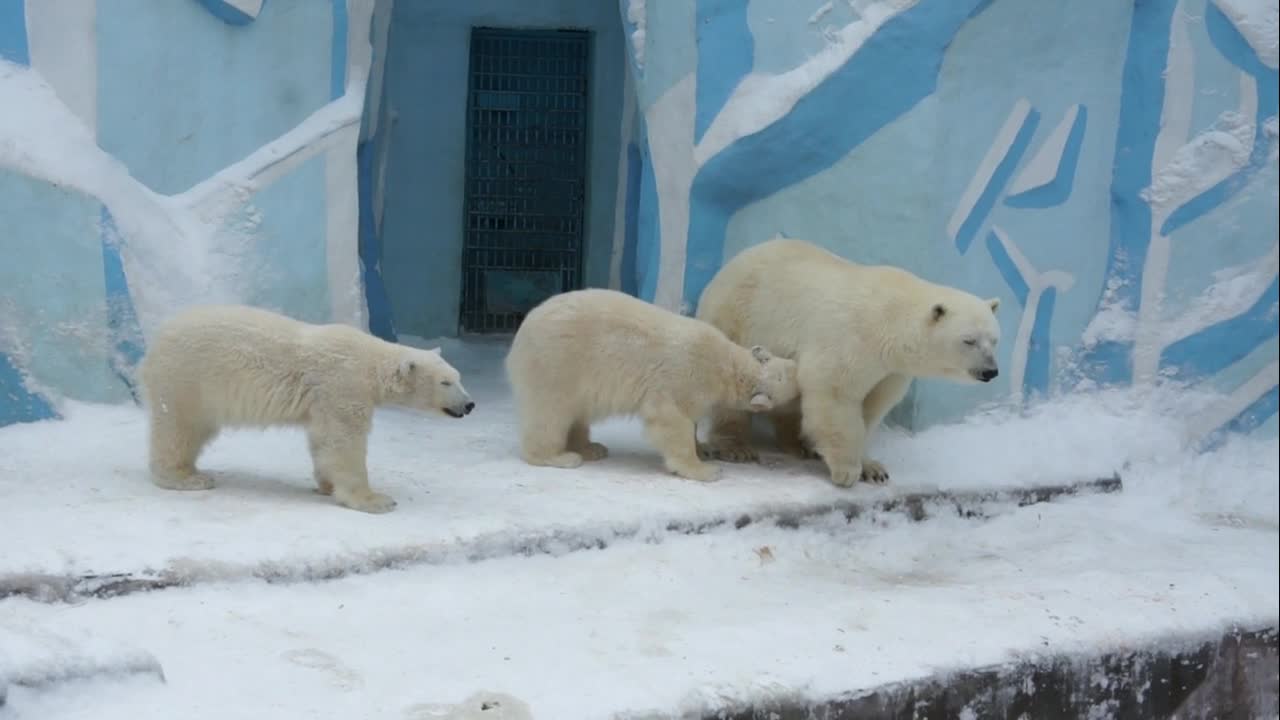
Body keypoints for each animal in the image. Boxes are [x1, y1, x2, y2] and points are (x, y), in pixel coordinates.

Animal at [137, 302, 476, 509]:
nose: (470, 404)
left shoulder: (325, 400)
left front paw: (326, 485)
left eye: (458, 378)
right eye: (446, 382)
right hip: (188, 379)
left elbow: (321, 439)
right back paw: (187, 478)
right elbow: (343, 441)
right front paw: (376, 499)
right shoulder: (342, 385)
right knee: (180, 429)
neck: (369, 364)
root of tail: (153, 346)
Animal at [501, 286, 793, 481]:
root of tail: (523, 329)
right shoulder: (685, 378)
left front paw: (704, 449)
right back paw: (561, 456)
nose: (797, 362)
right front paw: (705, 469)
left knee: (577, 413)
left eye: (788, 364)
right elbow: (671, 419)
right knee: (550, 414)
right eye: (793, 384)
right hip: (556, 364)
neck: (727, 365)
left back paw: (591, 448)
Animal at [696, 239, 1003, 486]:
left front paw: (873, 468)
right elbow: (835, 393)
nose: (991, 371)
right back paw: (737, 447)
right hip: (737, 318)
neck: (890, 321)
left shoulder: (891, 370)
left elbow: (871, 408)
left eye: (995, 339)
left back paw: (798, 443)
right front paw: (846, 470)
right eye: (969, 340)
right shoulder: (851, 339)